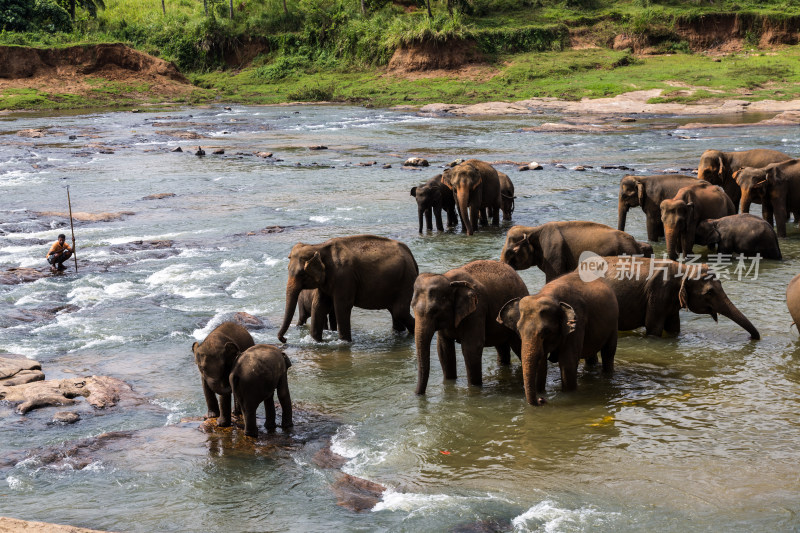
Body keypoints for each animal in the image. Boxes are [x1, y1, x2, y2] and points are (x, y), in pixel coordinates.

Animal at [276, 235, 418, 342]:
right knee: (395, 311)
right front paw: (316, 341)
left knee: (399, 311)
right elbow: (318, 305)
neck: (318, 247)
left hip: (406, 280)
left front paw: (344, 342)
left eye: (301, 274)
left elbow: (341, 306)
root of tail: (411, 255)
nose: (284, 340)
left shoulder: (344, 277)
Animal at [412, 260, 532, 392]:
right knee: (502, 347)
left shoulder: (477, 310)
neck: (449, 279)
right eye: (412, 307)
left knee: (518, 345)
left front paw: (474, 388)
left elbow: (471, 347)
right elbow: (443, 348)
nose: (417, 394)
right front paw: (450, 382)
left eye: (435, 311)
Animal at [500, 272, 620, 406]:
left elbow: (567, 363)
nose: (541, 399)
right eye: (518, 330)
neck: (548, 295)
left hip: (614, 324)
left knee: (608, 353)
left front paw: (568, 395)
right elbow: (541, 364)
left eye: (546, 331)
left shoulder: (577, 323)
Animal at [600, 254, 764, 336]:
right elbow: (653, 329)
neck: (685, 269)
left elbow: (674, 328)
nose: (753, 337)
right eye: (710, 292)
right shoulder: (658, 294)